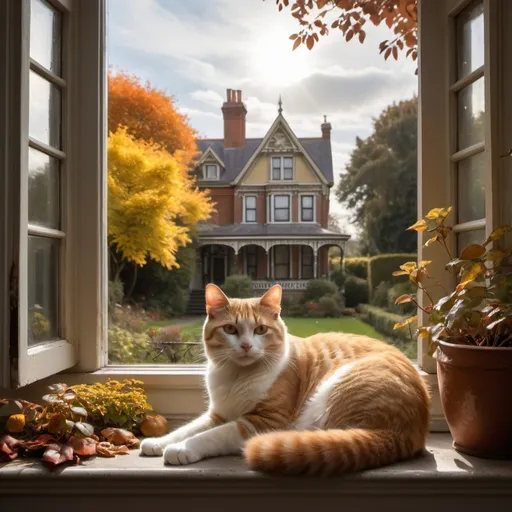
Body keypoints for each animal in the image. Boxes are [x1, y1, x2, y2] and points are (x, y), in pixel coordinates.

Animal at [141, 282, 432, 474]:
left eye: (260, 329)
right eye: (230, 329)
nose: (246, 346)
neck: (236, 376)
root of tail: (395, 435)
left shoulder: (264, 421)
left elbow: (211, 435)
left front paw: (181, 448)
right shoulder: (217, 414)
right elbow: (187, 428)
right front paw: (159, 442)